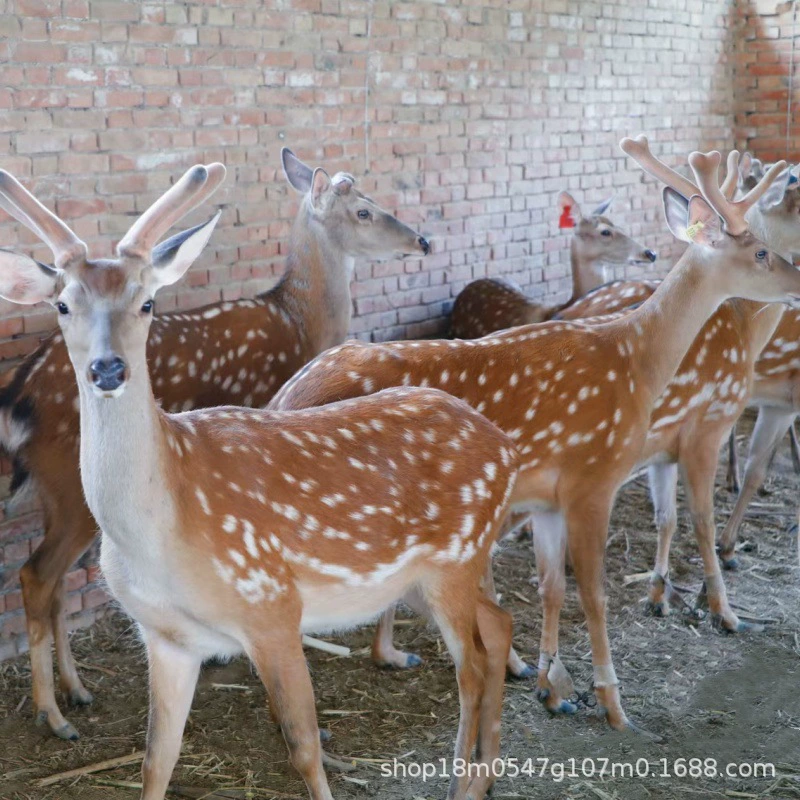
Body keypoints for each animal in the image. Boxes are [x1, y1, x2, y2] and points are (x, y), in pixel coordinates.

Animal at [0, 164, 517, 800]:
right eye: (63, 304)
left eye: (147, 302)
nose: (107, 369)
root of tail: (505, 446)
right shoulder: (167, 637)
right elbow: (155, 759)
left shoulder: (272, 607)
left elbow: (305, 746)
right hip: (425, 576)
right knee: (497, 627)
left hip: (454, 560)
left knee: (472, 663)